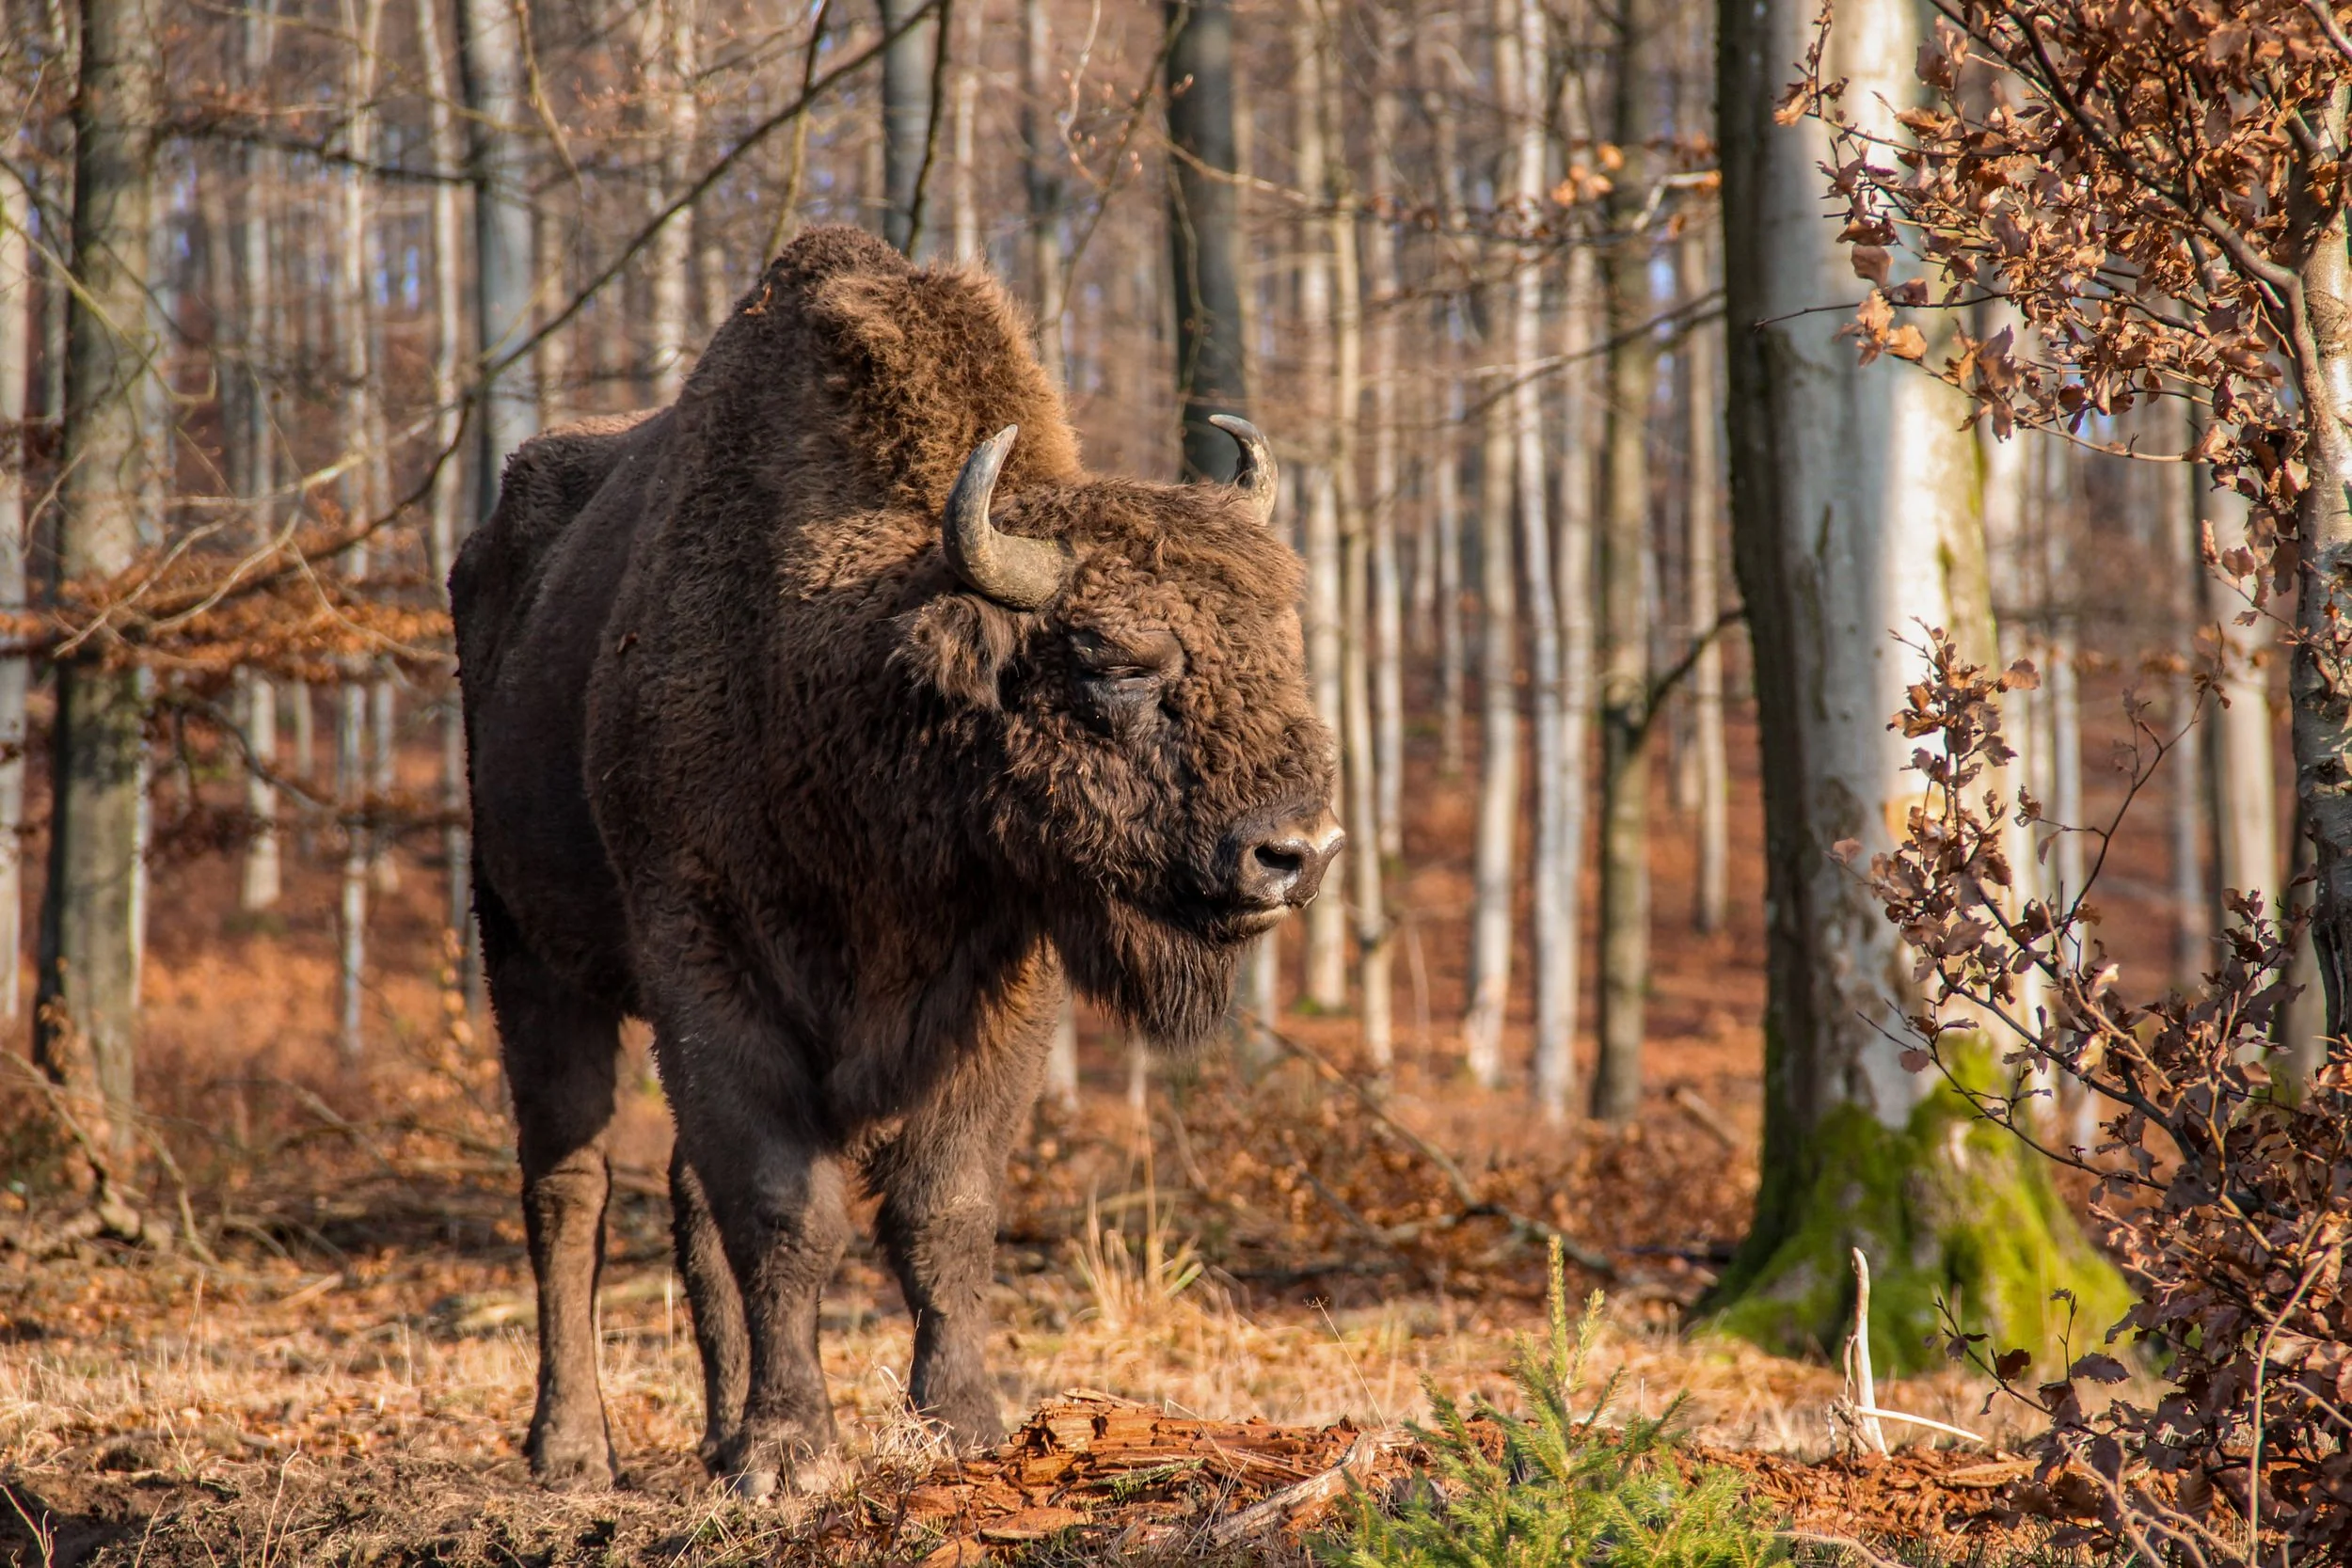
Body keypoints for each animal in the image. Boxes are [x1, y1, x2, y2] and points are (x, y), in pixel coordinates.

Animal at [452, 225, 1340, 1496]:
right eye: (1114, 660)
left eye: (1281, 640)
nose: (1295, 851)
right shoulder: (707, 963)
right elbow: (783, 1207)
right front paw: (789, 1453)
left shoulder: (1006, 980)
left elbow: (940, 1206)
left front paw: (959, 1423)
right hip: (525, 944)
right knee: (567, 1187)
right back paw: (573, 1449)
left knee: (677, 1198)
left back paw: (713, 1434)